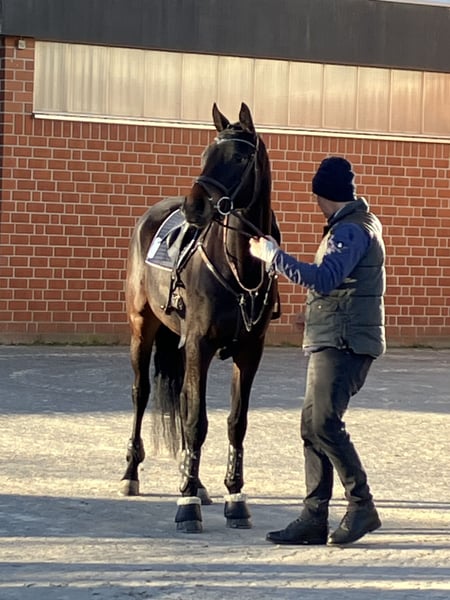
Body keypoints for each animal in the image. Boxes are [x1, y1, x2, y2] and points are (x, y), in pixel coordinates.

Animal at [120, 102, 280, 533]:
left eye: (239, 157)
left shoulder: (250, 352)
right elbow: (196, 421)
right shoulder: (199, 345)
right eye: (207, 153)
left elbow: (235, 422)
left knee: (184, 401)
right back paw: (131, 474)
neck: (240, 265)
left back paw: (196, 481)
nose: (195, 207)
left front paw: (235, 498)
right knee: (141, 393)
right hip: (142, 327)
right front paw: (186, 504)